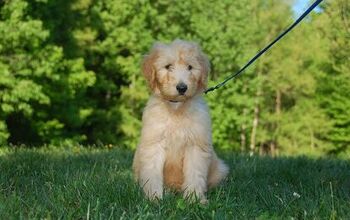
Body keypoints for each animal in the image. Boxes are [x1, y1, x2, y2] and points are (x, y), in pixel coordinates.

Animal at [133, 39, 228, 203]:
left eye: (190, 67)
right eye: (168, 66)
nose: (182, 87)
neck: (176, 108)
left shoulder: (196, 145)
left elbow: (195, 174)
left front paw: (194, 199)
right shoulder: (154, 143)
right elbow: (152, 173)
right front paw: (154, 197)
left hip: (219, 169)